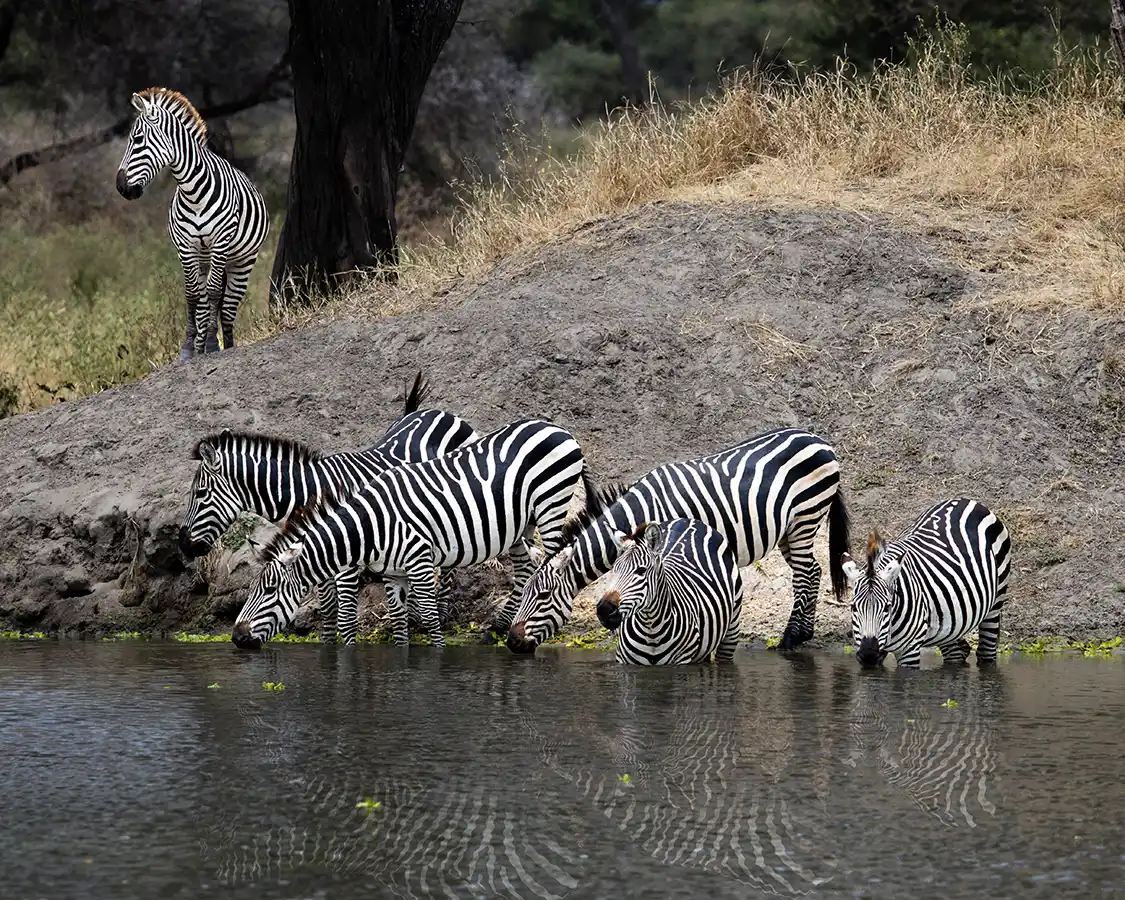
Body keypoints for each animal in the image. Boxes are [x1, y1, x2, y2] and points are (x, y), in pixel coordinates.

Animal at [115, 87, 270, 359]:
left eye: (138, 139)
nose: (121, 187)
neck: (193, 191)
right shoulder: (186, 247)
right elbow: (192, 295)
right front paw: (190, 347)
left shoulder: (220, 242)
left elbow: (213, 292)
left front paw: (211, 345)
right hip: (205, 258)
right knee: (207, 299)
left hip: (242, 261)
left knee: (227, 306)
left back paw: (225, 343)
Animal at [178, 372, 479, 644]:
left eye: (200, 494)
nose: (183, 544)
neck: (308, 495)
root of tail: (438, 412)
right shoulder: (316, 556)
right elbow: (327, 616)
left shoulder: (346, 562)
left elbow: (345, 620)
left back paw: (442, 612)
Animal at [231, 418, 588, 650]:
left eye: (270, 590)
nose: (236, 637)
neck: (371, 527)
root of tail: (555, 427)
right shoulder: (393, 573)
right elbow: (399, 622)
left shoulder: (418, 562)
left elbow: (428, 617)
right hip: (520, 524)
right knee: (526, 567)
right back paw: (500, 628)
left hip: (551, 504)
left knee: (550, 563)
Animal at [595, 519, 744, 665]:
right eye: (615, 569)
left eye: (641, 571)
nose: (604, 609)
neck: (651, 629)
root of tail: (688, 520)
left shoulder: (682, 661)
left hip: (732, 628)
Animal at [841, 497, 1011, 669]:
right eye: (853, 607)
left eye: (887, 608)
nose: (868, 655)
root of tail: (965, 500)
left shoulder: (909, 650)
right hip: (950, 618)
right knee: (957, 652)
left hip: (996, 600)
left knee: (986, 651)